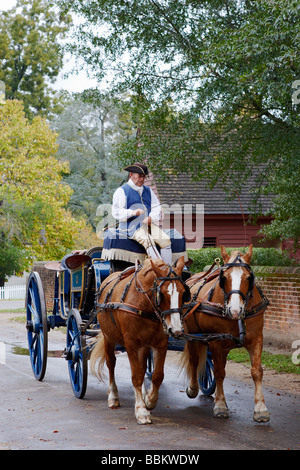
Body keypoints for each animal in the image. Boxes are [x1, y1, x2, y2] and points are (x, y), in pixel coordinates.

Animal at [90, 255, 189, 424]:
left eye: (183, 293)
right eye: (162, 294)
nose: (175, 329)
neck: (143, 304)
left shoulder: (160, 344)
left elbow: (157, 376)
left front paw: (149, 400)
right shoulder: (131, 344)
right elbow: (136, 376)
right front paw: (141, 410)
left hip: (144, 345)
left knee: (142, 368)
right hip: (109, 337)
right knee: (111, 363)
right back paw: (113, 396)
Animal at [182, 246, 270, 422]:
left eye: (248, 277)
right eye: (224, 278)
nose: (235, 310)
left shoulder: (256, 339)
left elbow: (257, 371)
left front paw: (260, 408)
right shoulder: (216, 343)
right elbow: (219, 373)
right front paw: (221, 405)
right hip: (193, 336)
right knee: (194, 360)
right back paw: (193, 388)